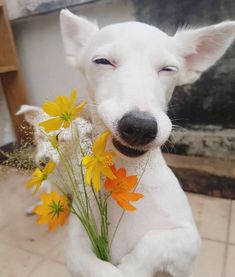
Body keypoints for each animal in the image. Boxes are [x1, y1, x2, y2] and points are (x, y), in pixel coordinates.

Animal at [60, 9, 235, 276]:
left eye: (168, 69)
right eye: (102, 61)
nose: (140, 127)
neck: (125, 173)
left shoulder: (188, 240)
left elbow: (154, 241)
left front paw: (132, 268)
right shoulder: (75, 248)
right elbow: (99, 268)